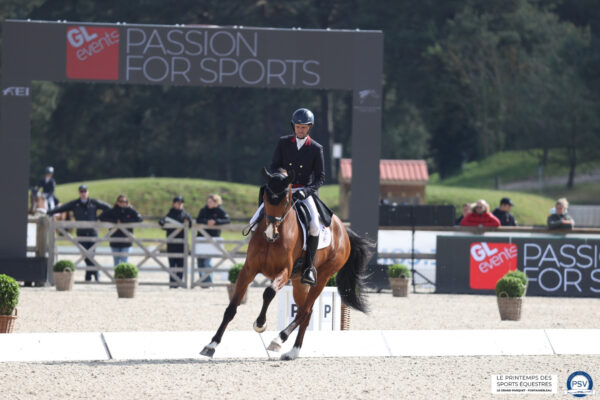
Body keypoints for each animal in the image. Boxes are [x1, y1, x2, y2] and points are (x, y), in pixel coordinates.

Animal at [199, 167, 372, 360]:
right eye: (265, 197)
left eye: (286, 200)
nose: (270, 233)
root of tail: (343, 229)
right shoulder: (248, 270)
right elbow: (231, 308)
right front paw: (211, 345)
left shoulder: (284, 271)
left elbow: (268, 292)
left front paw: (260, 324)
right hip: (298, 283)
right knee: (306, 312)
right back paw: (293, 351)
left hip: (323, 277)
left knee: (304, 311)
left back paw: (279, 339)